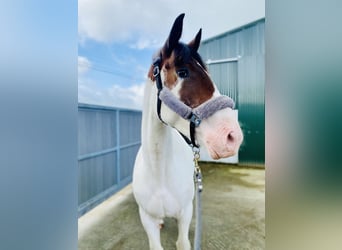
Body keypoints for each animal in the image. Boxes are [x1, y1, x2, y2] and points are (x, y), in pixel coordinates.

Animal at [132, 14, 243, 250]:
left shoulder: (185, 213)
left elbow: (183, 242)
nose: (232, 137)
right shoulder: (147, 220)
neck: (159, 174)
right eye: (183, 72)